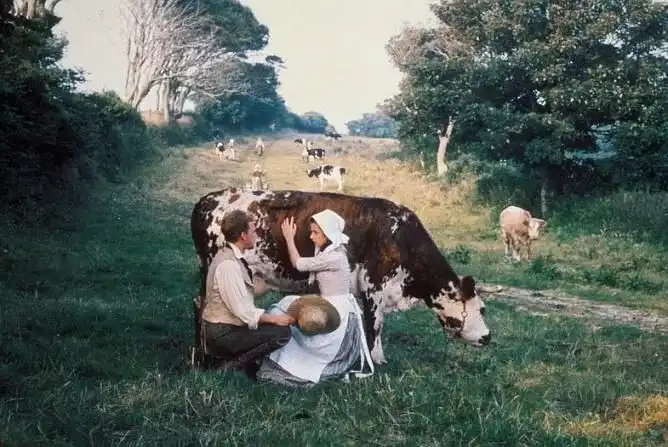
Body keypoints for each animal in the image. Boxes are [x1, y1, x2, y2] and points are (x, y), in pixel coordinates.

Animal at [190, 187, 494, 366]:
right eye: (481, 308)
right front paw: (375, 360)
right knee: (201, 305)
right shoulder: (374, 286)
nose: (488, 337)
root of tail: (207, 199)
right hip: (211, 269)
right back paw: (201, 356)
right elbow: (375, 324)